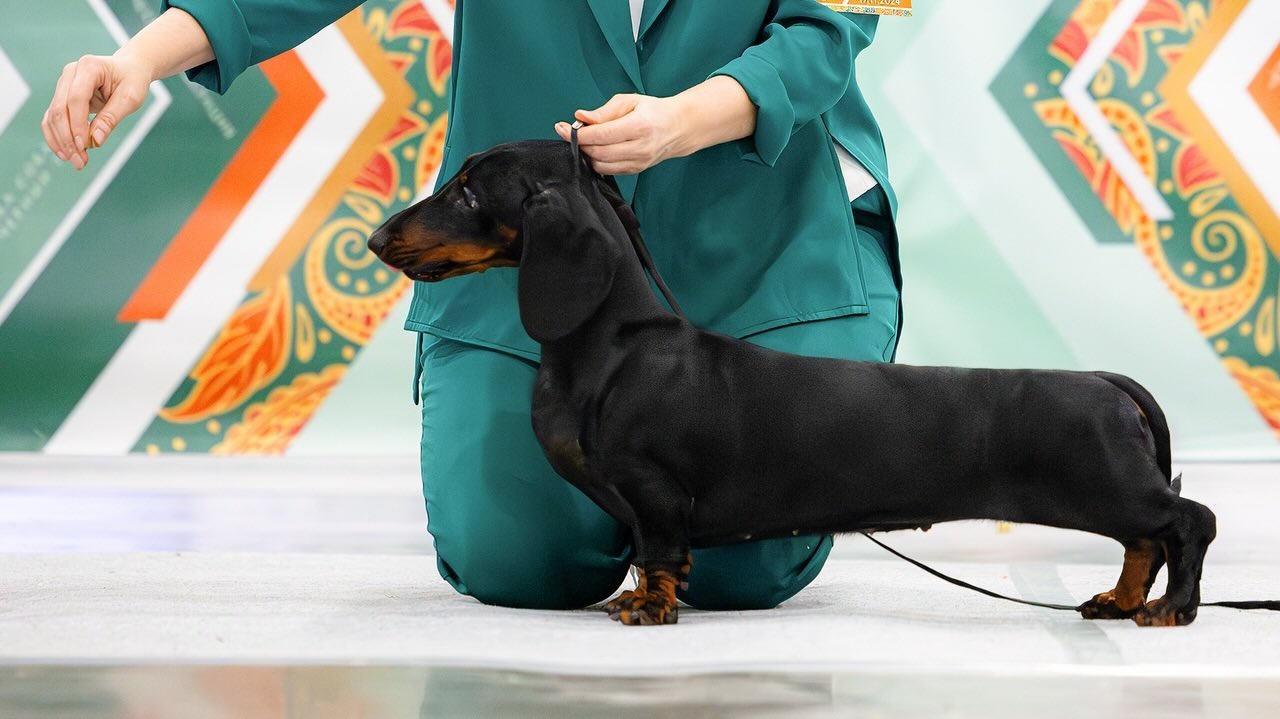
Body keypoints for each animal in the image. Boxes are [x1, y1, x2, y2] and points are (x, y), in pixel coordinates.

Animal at [368, 140, 1216, 627]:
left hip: (1105, 483)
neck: (612, 346)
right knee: (1146, 538)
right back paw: (1121, 600)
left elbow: (659, 553)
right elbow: (643, 552)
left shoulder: (655, 491)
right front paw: (636, 594)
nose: (375, 237)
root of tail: (1106, 382)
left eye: (469, 192)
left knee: (1186, 521)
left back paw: (1170, 608)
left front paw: (649, 607)